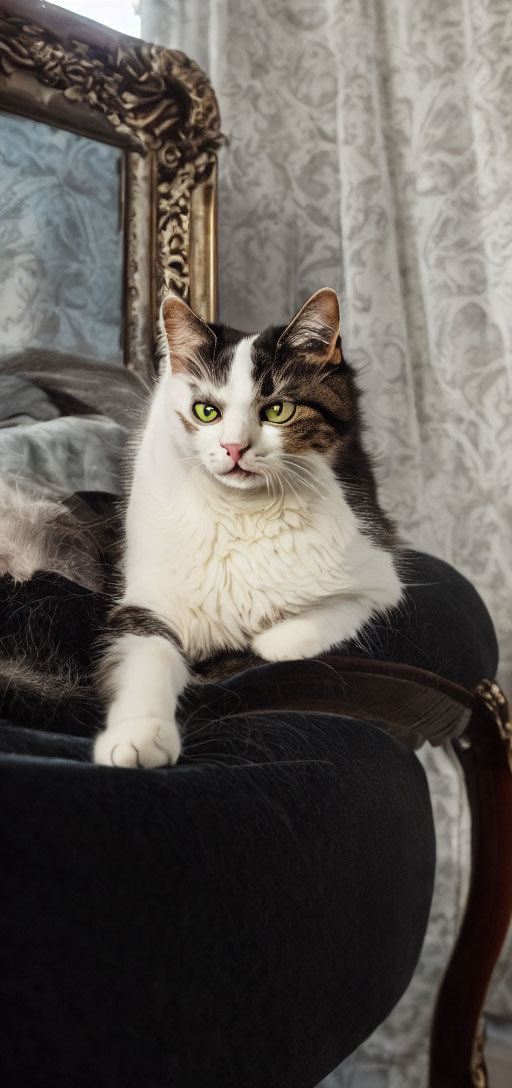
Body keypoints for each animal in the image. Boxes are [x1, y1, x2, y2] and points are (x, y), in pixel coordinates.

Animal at [94, 285, 402, 770]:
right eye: (206, 411)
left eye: (277, 410)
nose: (234, 447)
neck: (242, 512)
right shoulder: (148, 597)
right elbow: (149, 656)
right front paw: (139, 737)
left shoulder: (379, 570)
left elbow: (340, 607)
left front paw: (275, 640)